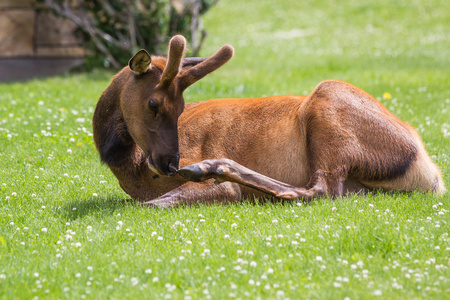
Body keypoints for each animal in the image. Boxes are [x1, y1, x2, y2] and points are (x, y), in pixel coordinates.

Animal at [93, 35, 444, 207]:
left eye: (180, 108)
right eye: (153, 103)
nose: (171, 163)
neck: (130, 169)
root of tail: (430, 173)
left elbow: (149, 205)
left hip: (328, 106)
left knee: (320, 189)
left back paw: (213, 166)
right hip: (360, 186)